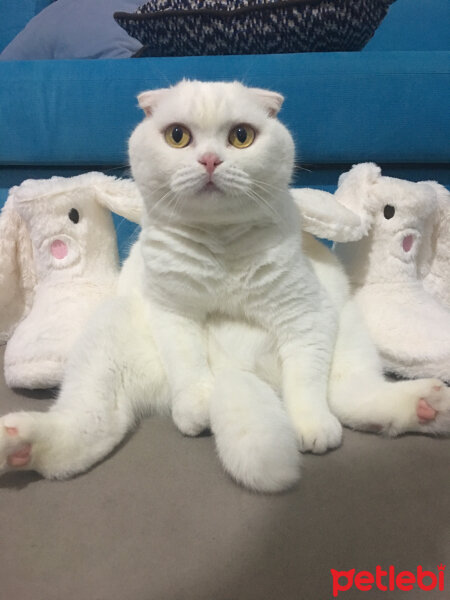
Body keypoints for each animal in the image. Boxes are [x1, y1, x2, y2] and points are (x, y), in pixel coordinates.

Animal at [0, 79, 450, 492]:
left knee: (348, 396)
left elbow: (304, 382)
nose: (210, 160)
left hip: (347, 331)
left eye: (241, 136)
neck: (220, 245)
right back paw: (20, 445)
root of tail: (239, 371)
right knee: (86, 429)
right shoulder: (173, 314)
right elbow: (189, 362)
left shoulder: (305, 316)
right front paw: (197, 404)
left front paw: (310, 426)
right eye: (177, 136)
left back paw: (427, 405)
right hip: (108, 342)